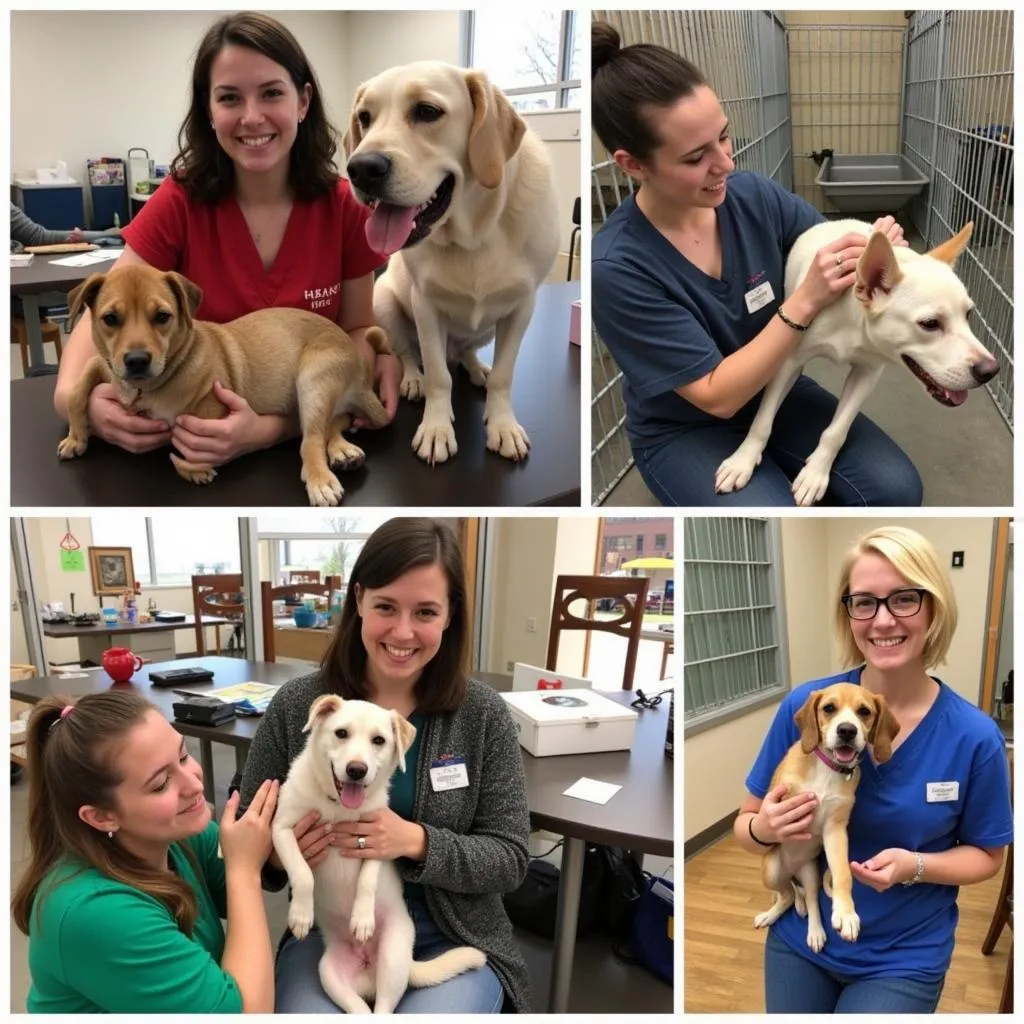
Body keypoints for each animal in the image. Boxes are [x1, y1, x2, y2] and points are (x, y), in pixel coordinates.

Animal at [58, 264, 389, 503]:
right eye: (110, 319)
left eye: (162, 316)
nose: (137, 360)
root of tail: (360, 368)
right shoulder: (106, 365)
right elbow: (76, 391)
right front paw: (76, 438)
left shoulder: (212, 402)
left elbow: (186, 444)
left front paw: (194, 469)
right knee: (335, 422)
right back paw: (343, 450)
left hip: (314, 379)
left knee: (312, 439)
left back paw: (321, 477)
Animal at [268, 692, 483, 1011]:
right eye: (341, 733)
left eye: (379, 740)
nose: (357, 770)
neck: (338, 808)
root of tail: (367, 966)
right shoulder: (282, 830)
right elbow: (302, 873)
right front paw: (301, 915)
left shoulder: (379, 839)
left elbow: (367, 880)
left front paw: (362, 919)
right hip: (329, 973)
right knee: (359, 1009)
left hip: (392, 957)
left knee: (383, 1007)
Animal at [344, 59, 561, 464]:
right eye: (364, 118)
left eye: (428, 111)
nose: (360, 168)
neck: (474, 233)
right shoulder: (426, 305)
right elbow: (437, 376)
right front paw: (436, 428)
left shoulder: (523, 307)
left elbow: (506, 374)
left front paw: (503, 424)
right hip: (384, 302)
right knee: (409, 353)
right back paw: (412, 378)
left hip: (486, 329)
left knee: (466, 353)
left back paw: (478, 369)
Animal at [716, 220, 995, 503]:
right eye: (929, 324)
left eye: (968, 314)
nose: (991, 370)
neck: (852, 321)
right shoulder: (787, 362)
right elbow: (762, 421)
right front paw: (743, 460)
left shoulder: (867, 374)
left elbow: (836, 432)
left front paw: (815, 474)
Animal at [753, 684, 897, 954]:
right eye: (829, 708)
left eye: (864, 711)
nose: (847, 730)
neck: (828, 769)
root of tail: (793, 871)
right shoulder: (783, 799)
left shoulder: (835, 830)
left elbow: (843, 873)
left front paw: (846, 913)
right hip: (772, 869)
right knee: (788, 894)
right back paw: (771, 914)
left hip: (810, 874)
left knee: (807, 899)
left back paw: (815, 932)